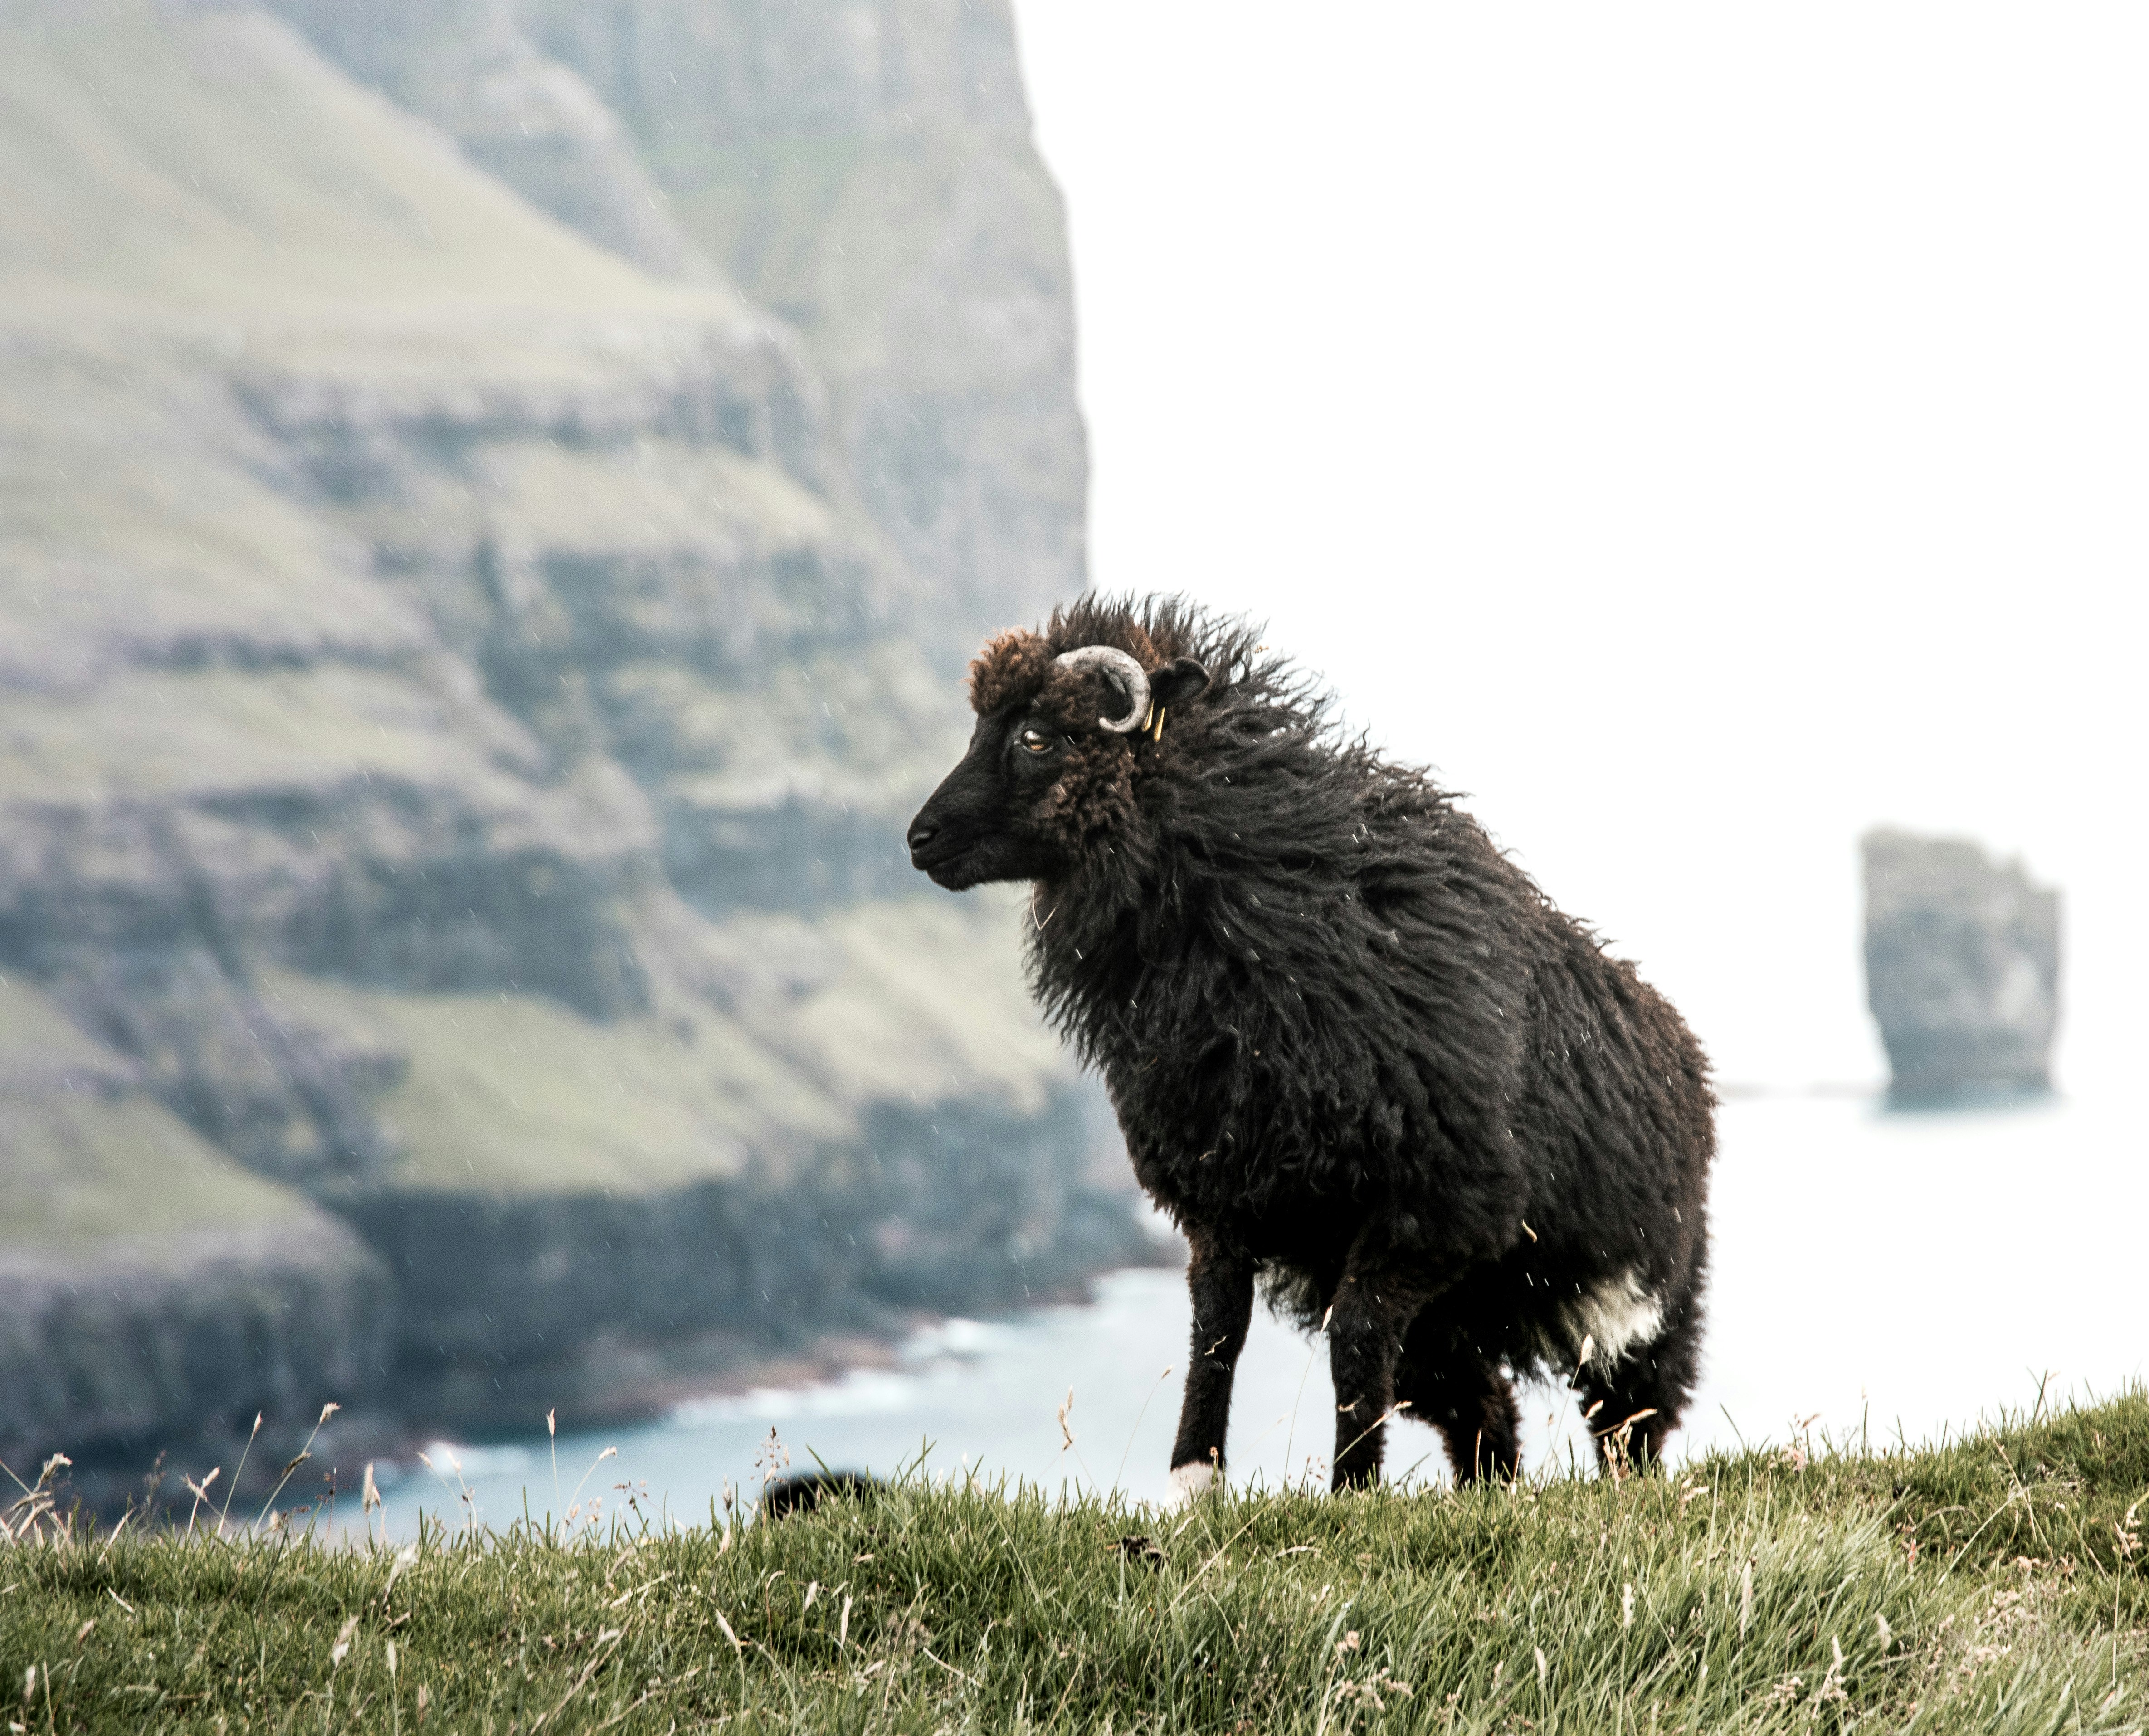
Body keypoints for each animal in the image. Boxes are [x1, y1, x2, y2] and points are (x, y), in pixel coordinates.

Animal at [907, 596, 1714, 1495]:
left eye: (1037, 735)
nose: (919, 838)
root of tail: (1685, 1057)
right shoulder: (1220, 1185)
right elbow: (1216, 1327)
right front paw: (1194, 1480)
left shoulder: (1433, 1207)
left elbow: (1353, 1339)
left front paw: (1350, 1491)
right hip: (1444, 1317)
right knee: (1485, 1410)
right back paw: (1485, 1494)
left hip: (1633, 1296)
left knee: (1628, 1416)